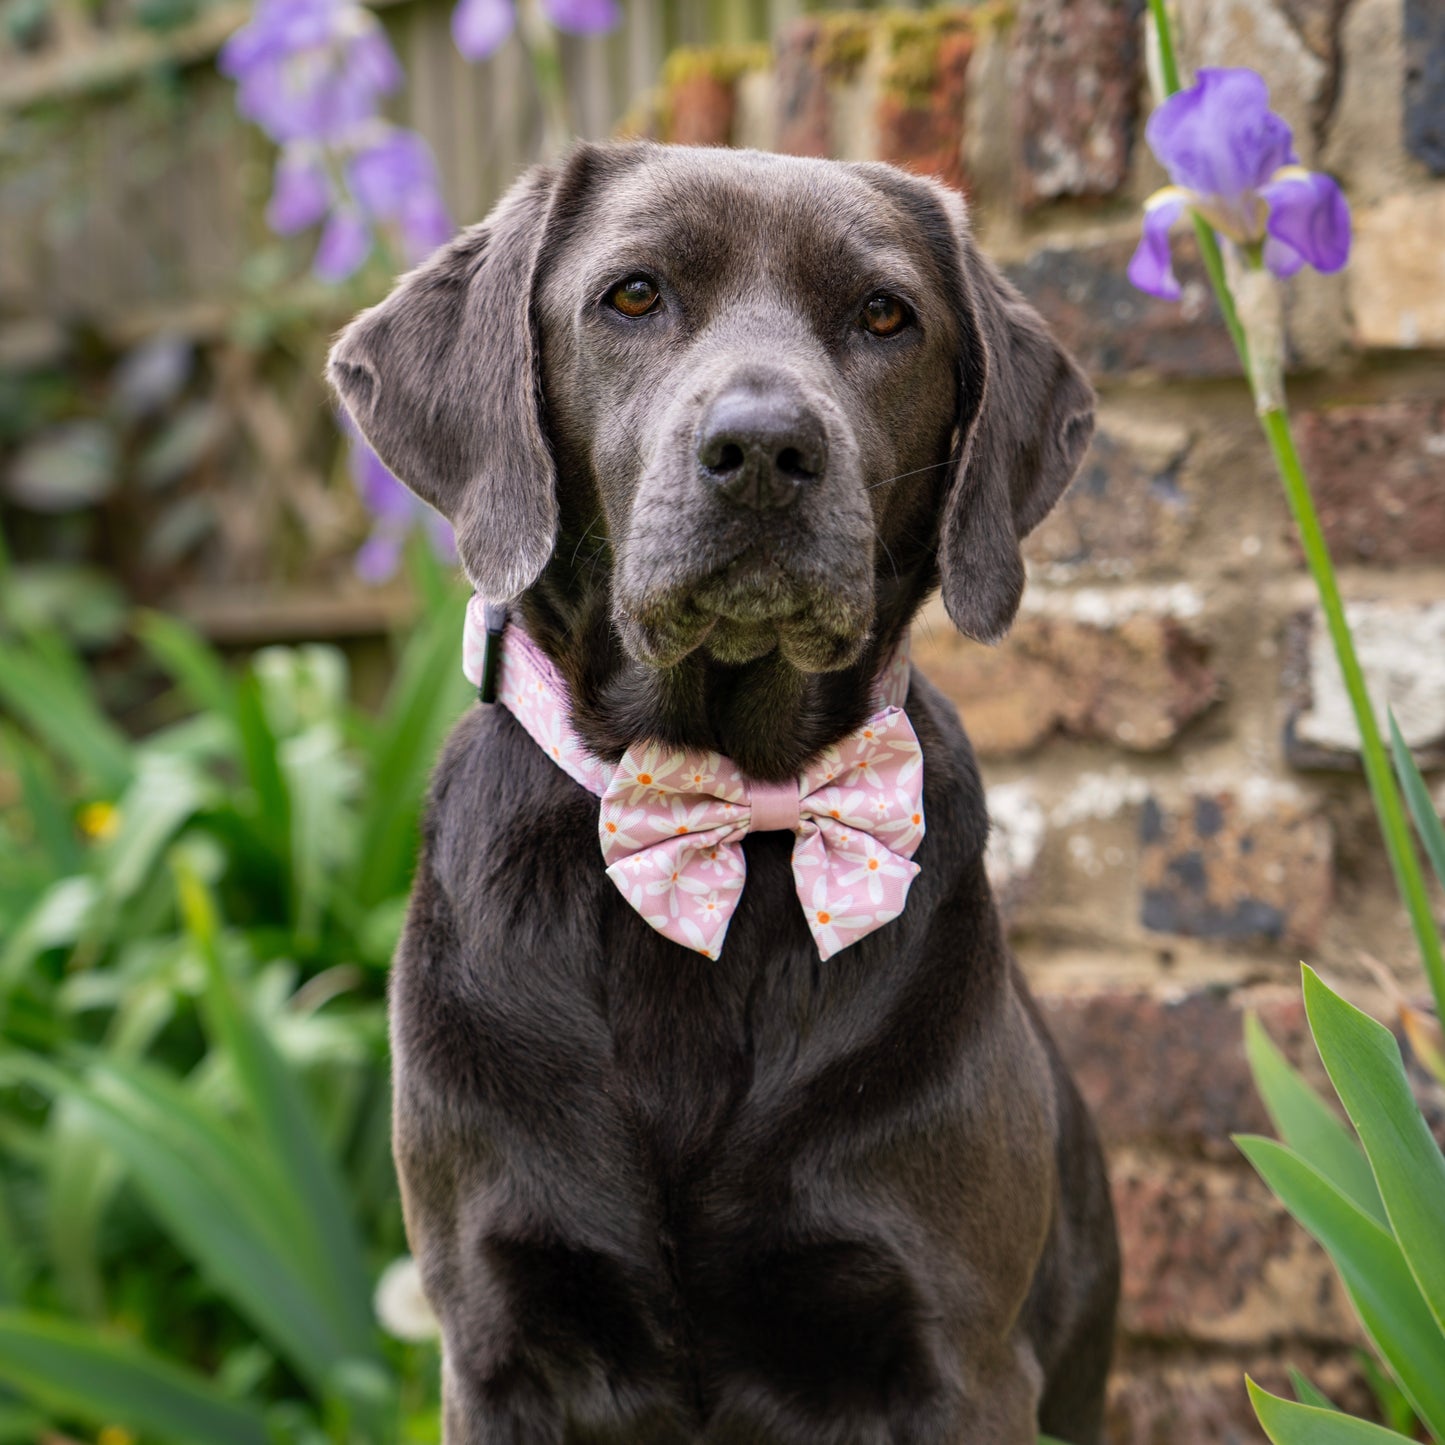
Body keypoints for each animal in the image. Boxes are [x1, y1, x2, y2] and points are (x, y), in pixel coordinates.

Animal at [332, 137, 1121, 1445]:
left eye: (883, 314)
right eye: (634, 295)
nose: (763, 451)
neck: (725, 798)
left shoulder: (953, 1352)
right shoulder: (496, 1340)